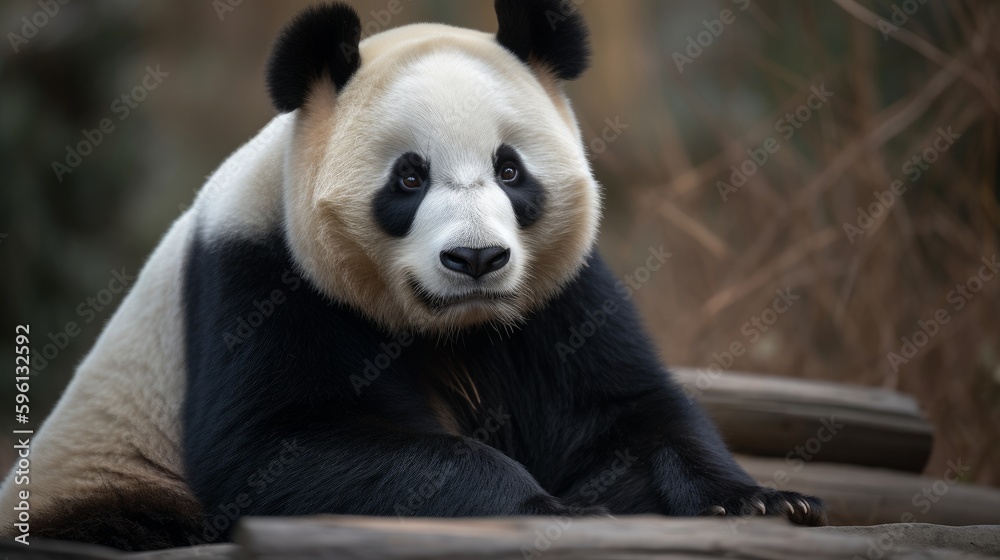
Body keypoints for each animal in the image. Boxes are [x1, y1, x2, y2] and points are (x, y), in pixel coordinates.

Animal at [0, 0, 826, 551]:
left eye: (510, 169)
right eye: (409, 177)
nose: (476, 260)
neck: (447, 324)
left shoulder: (560, 295)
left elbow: (621, 419)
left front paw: (761, 502)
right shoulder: (259, 276)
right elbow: (278, 447)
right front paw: (547, 509)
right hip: (105, 483)